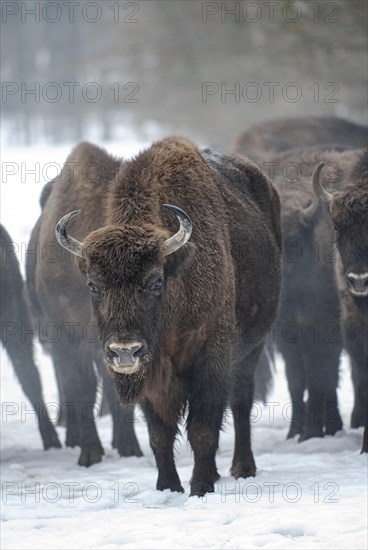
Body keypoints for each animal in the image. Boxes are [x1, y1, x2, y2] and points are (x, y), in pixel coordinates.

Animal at [26, 149, 142, 468]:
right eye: (96, 284)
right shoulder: (67, 335)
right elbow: (81, 388)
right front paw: (90, 453)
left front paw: (130, 448)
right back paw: (74, 438)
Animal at [54, 137, 282, 496]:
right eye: (93, 285)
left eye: (155, 281)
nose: (124, 351)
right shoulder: (152, 374)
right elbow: (159, 433)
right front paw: (168, 487)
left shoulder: (212, 356)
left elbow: (203, 427)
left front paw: (200, 487)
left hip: (253, 347)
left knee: (241, 401)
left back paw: (242, 468)